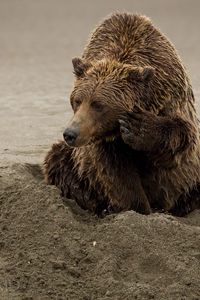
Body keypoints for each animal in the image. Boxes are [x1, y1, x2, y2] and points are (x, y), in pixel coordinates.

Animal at [43, 12, 200, 217]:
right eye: (77, 100)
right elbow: (116, 173)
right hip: (74, 162)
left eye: (98, 105)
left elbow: (181, 137)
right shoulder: (104, 142)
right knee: (58, 160)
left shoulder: (170, 94)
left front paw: (139, 127)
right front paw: (138, 208)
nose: (71, 133)